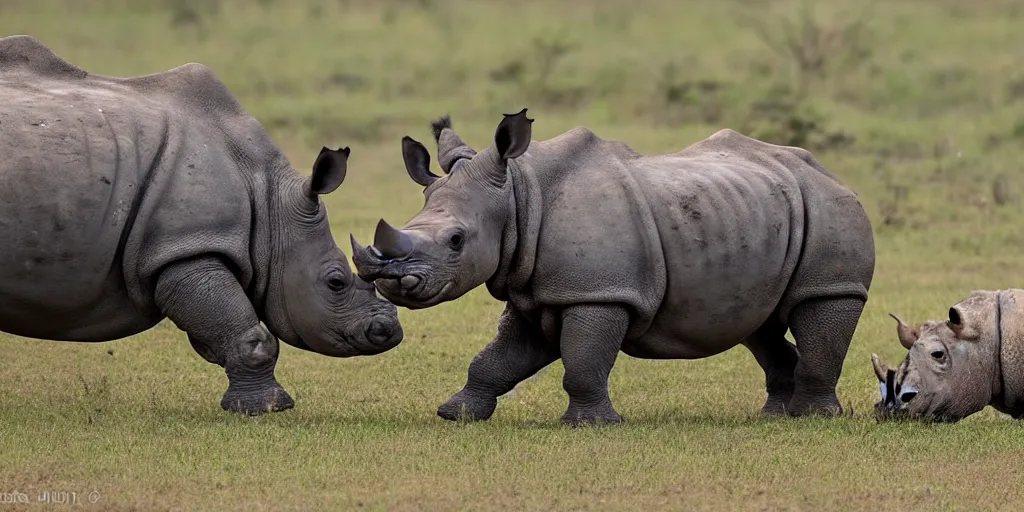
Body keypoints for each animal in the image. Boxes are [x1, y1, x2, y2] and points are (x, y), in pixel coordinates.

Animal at [0, 35, 405, 411]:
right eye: (335, 282)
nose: (389, 331)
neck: (270, 206)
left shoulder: (185, 245)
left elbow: (218, 334)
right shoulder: (187, 246)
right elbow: (250, 336)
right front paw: (269, 408)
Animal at [350, 107, 872, 423]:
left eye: (457, 241)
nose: (392, 283)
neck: (519, 197)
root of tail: (827, 171)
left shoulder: (597, 293)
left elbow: (582, 360)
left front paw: (590, 425)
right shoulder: (539, 292)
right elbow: (497, 358)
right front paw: (455, 413)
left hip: (829, 212)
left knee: (821, 303)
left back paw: (813, 417)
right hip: (756, 217)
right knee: (758, 324)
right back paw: (773, 416)